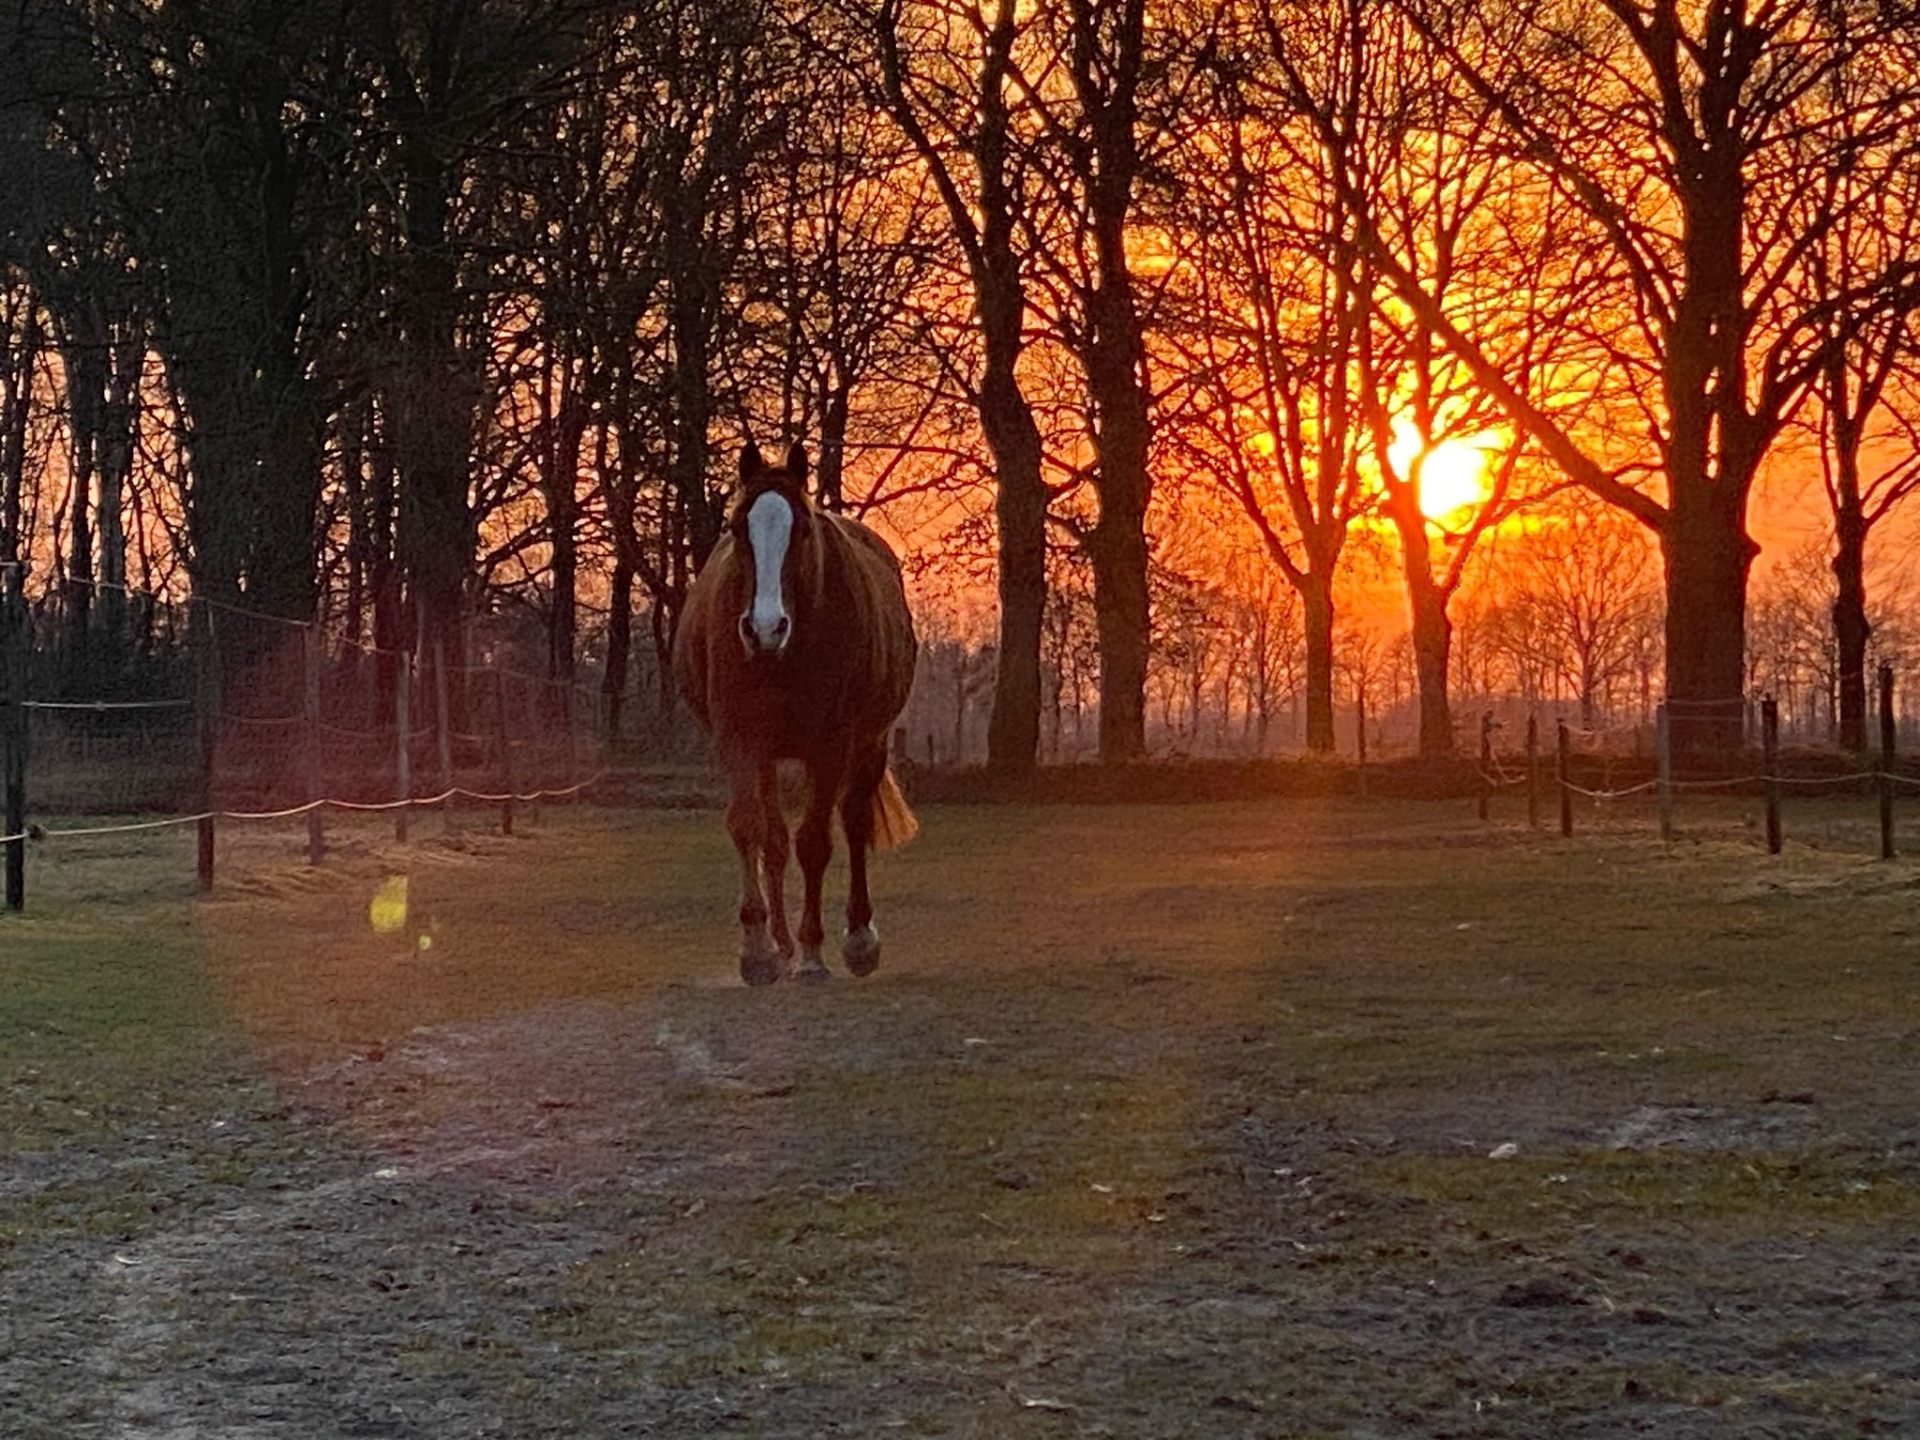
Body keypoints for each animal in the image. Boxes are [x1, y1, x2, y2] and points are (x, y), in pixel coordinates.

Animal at [674, 439, 919, 986]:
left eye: (802, 528)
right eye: (737, 526)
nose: (766, 627)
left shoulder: (831, 747)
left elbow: (814, 842)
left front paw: (813, 953)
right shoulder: (740, 741)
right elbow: (753, 830)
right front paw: (760, 950)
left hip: (870, 745)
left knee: (853, 824)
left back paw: (857, 940)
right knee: (774, 839)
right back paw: (782, 944)